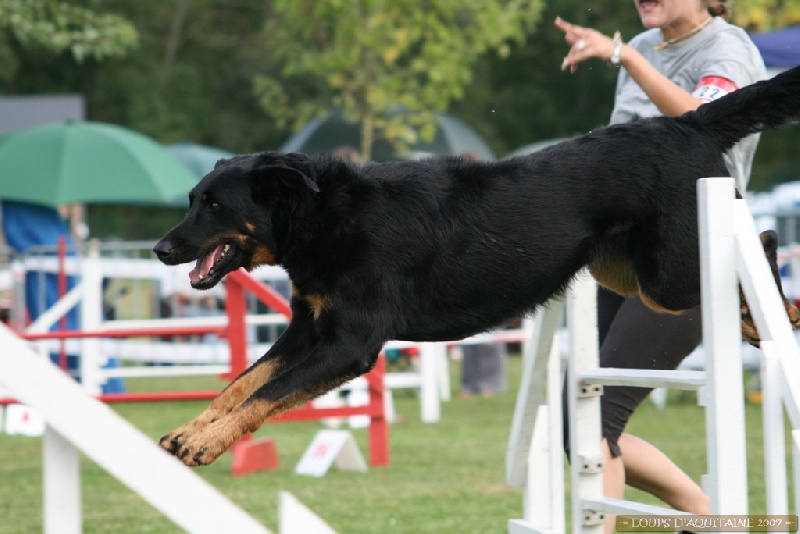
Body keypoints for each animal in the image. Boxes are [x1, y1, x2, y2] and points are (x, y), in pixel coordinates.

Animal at [153, 66, 800, 468]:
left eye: (214, 205)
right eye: (191, 198)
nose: (160, 248)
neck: (322, 215)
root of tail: (688, 120)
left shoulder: (348, 344)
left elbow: (265, 393)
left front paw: (206, 445)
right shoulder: (307, 329)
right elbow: (242, 384)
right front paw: (193, 431)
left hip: (672, 273)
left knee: (764, 240)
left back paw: (783, 310)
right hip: (631, 276)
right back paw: (766, 323)